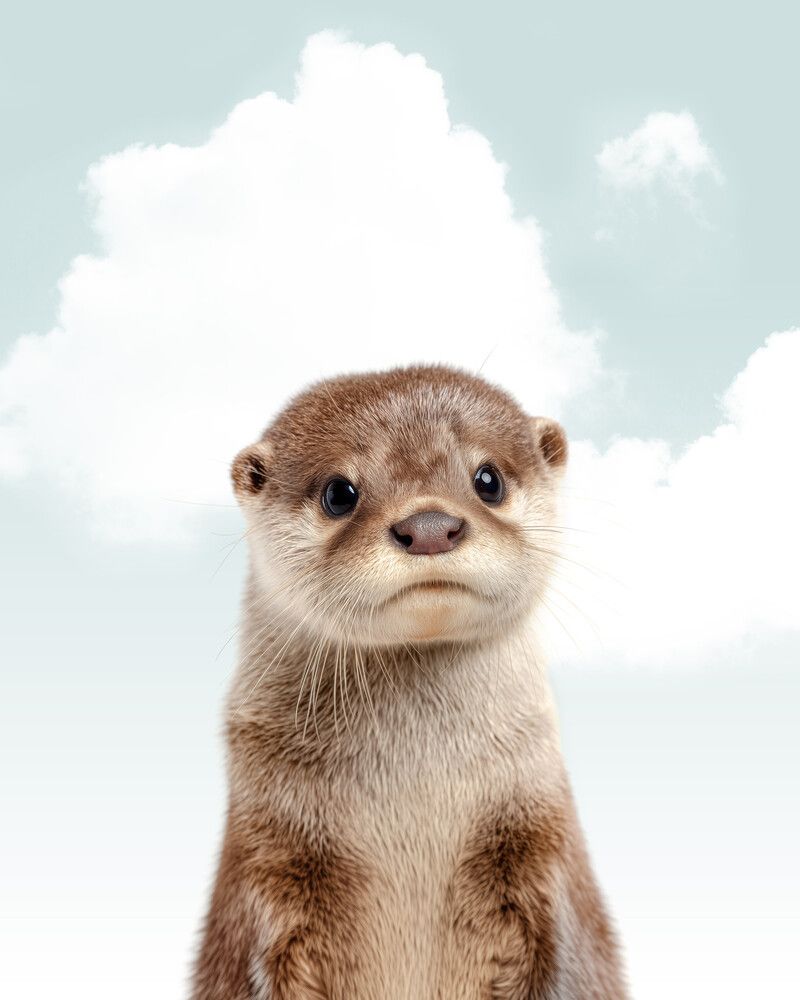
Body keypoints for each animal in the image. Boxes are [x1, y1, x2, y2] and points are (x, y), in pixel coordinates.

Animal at [191, 365, 627, 999]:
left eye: (488, 479)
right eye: (339, 492)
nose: (429, 526)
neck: (415, 786)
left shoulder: (543, 850)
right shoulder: (265, 861)